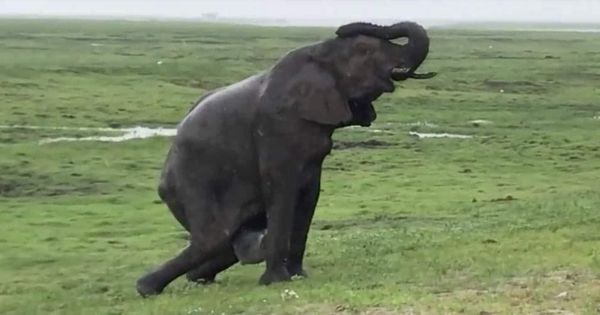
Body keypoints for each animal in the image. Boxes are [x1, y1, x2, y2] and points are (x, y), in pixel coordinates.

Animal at [136, 21, 436, 298]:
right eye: (365, 50)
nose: (341, 28)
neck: (319, 52)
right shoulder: (275, 128)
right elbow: (282, 192)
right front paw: (276, 282)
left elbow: (309, 196)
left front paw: (299, 276)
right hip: (190, 180)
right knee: (214, 237)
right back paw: (146, 288)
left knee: (229, 244)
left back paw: (197, 278)